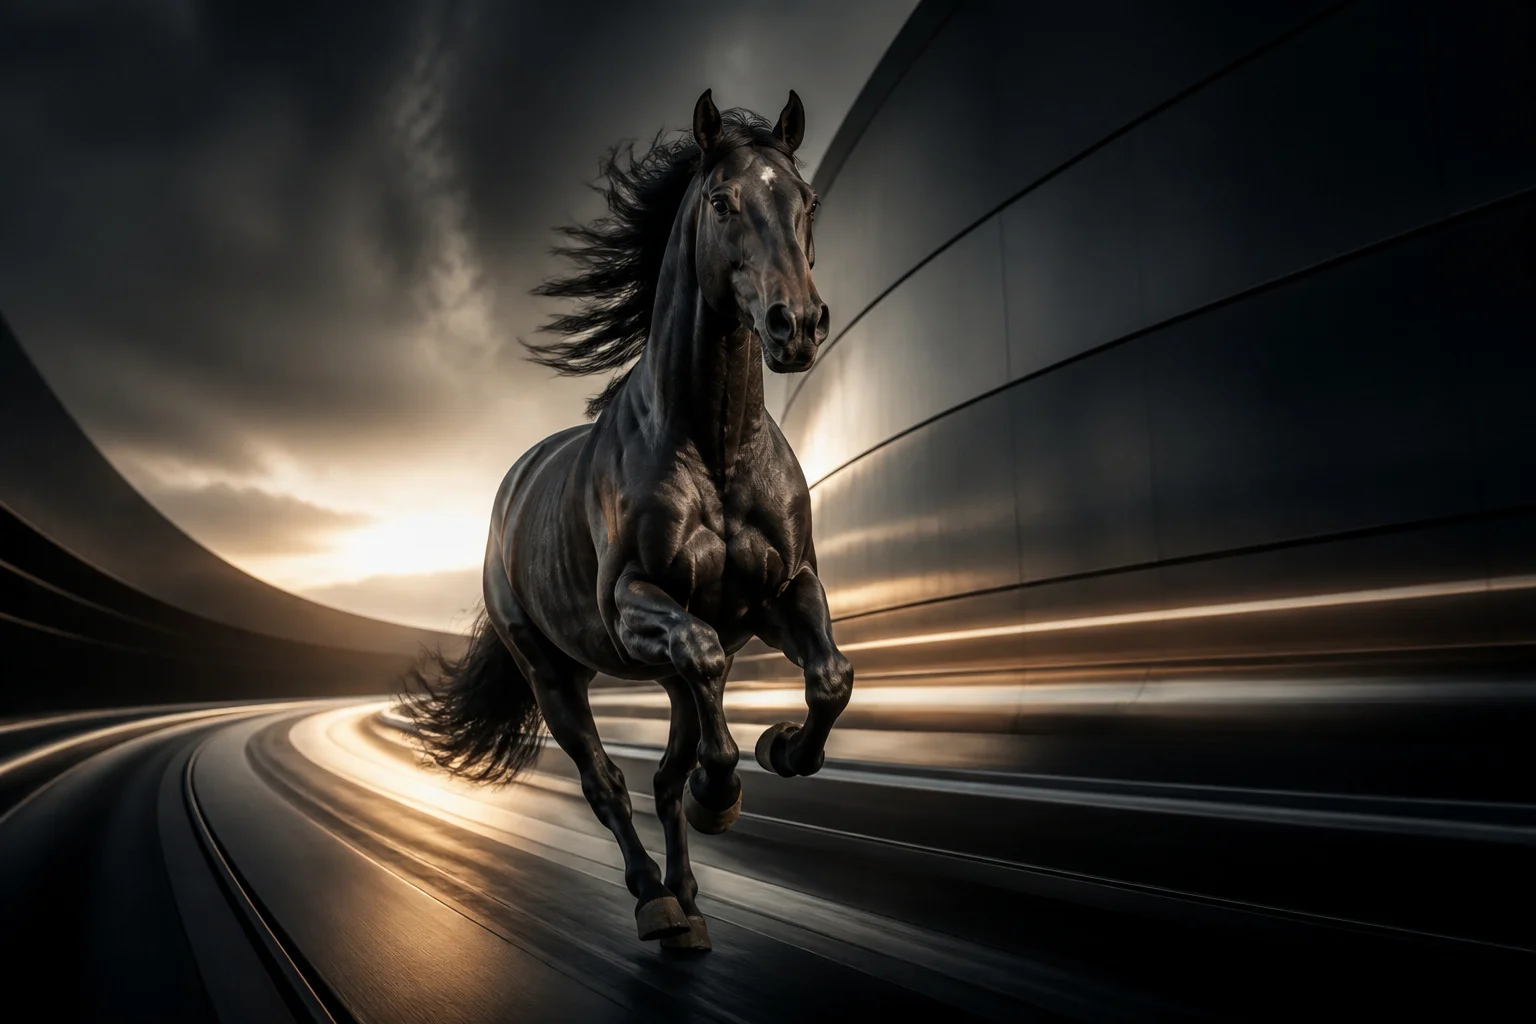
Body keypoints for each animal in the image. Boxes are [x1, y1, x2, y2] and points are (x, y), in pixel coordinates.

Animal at [404, 89, 852, 952]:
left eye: (807, 201)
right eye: (722, 201)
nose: (798, 326)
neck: (715, 448)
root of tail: (511, 491)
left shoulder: (784, 591)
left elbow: (830, 677)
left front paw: (780, 748)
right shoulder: (638, 604)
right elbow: (705, 678)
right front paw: (724, 794)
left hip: (655, 673)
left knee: (666, 771)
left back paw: (690, 906)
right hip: (551, 673)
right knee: (606, 781)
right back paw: (656, 900)